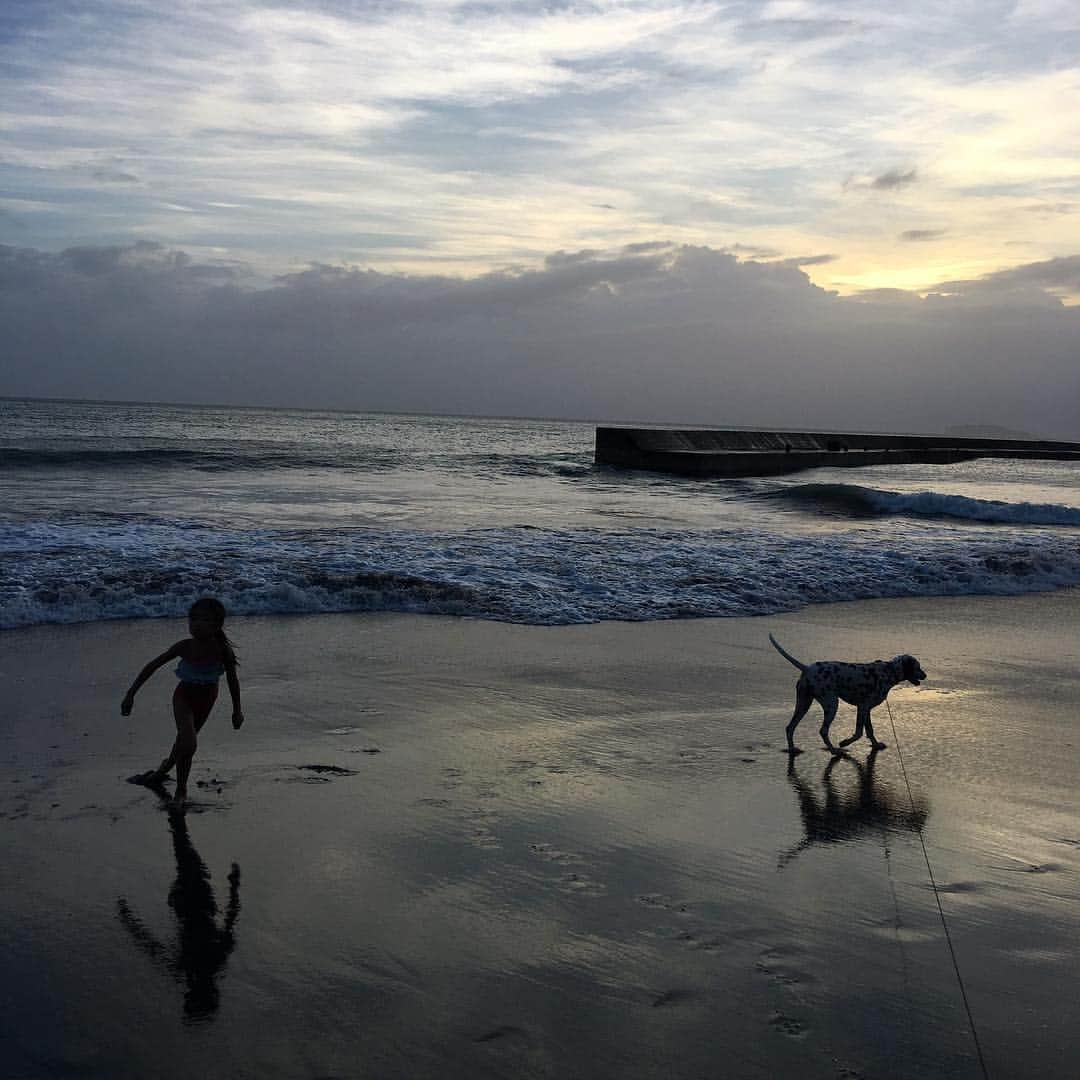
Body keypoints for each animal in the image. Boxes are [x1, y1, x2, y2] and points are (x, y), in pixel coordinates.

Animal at [768, 630, 928, 756]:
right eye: (917, 667)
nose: (925, 675)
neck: (889, 671)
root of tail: (807, 668)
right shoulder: (863, 707)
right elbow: (859, 732)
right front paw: (844, 742)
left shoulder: (865, 710)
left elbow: (870, 731)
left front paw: (875, 745)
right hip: (831, 704)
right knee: (822, 730)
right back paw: (834, 750)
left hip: (803, 704)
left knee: (790, 727)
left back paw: (792, 749)